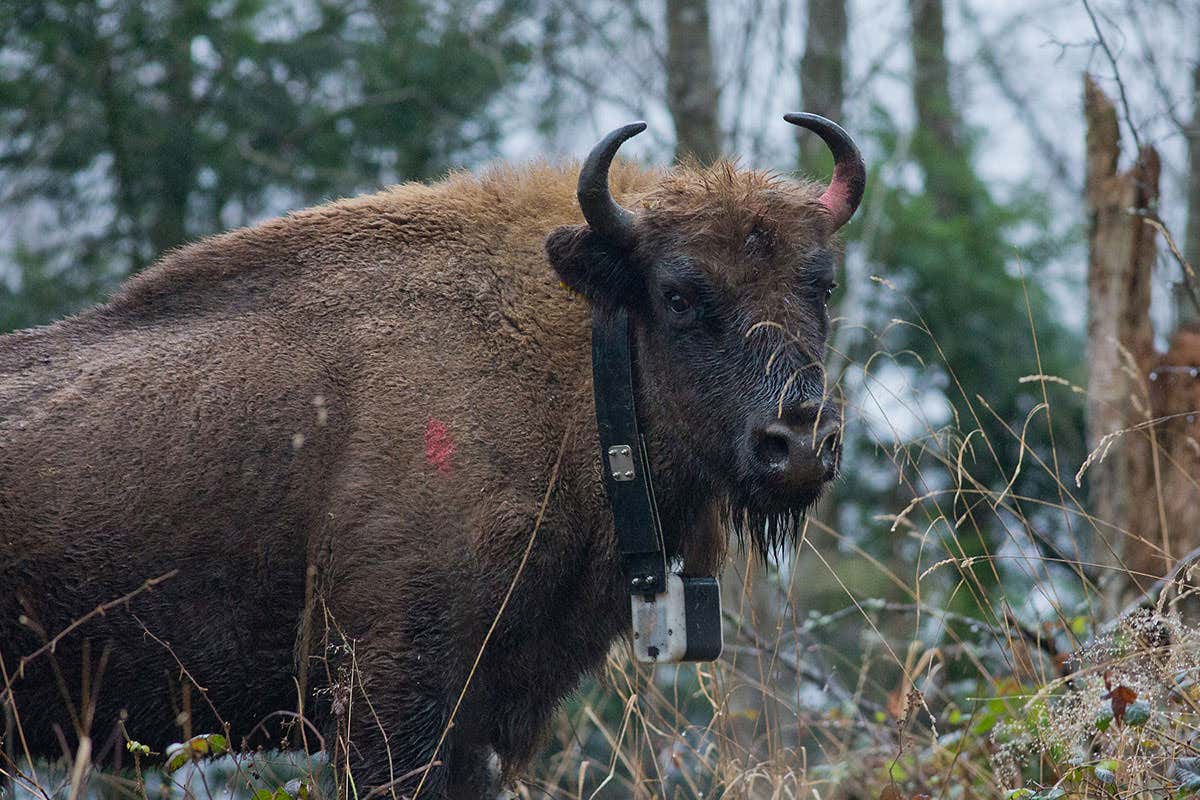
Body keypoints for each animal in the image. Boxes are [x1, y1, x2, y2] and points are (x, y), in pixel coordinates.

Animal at [0, 114, 864, 798]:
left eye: (821, 285)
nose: (799, 442)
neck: (579, 354)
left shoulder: (487, 715)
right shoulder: (391, 697)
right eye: (679, 295)